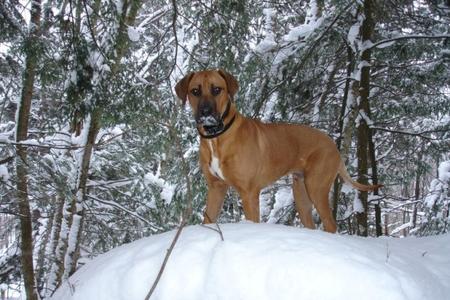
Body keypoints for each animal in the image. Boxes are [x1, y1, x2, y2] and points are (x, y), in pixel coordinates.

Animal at [175, 69, 380, 232]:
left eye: (217, 89)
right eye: (195, 91)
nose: (206, 112)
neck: (217, 137)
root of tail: (332, 143)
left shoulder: (248, 193)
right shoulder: (215, 189)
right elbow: (208, 219)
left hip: (316, 186)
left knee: (330, 224)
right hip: (301, 191)